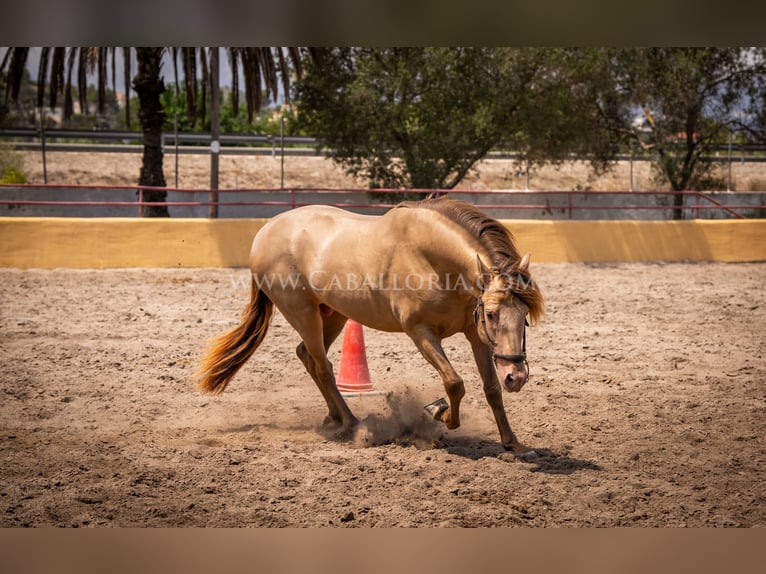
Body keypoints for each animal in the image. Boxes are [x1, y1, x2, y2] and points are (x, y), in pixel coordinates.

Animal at [198, 199, 544, 460]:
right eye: (492, 313)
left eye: (525, 316)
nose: (517, 377)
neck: (433, 259)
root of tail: (265, 232)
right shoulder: (420, 332)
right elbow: (454, 383)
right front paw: (438, 413)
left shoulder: (476, 335)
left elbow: (491, 389)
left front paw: (513, 443)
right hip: (304, 314)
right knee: (322, 366)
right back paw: (353, 424)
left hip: (333, 314)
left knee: (307, 356)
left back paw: (335, 417)